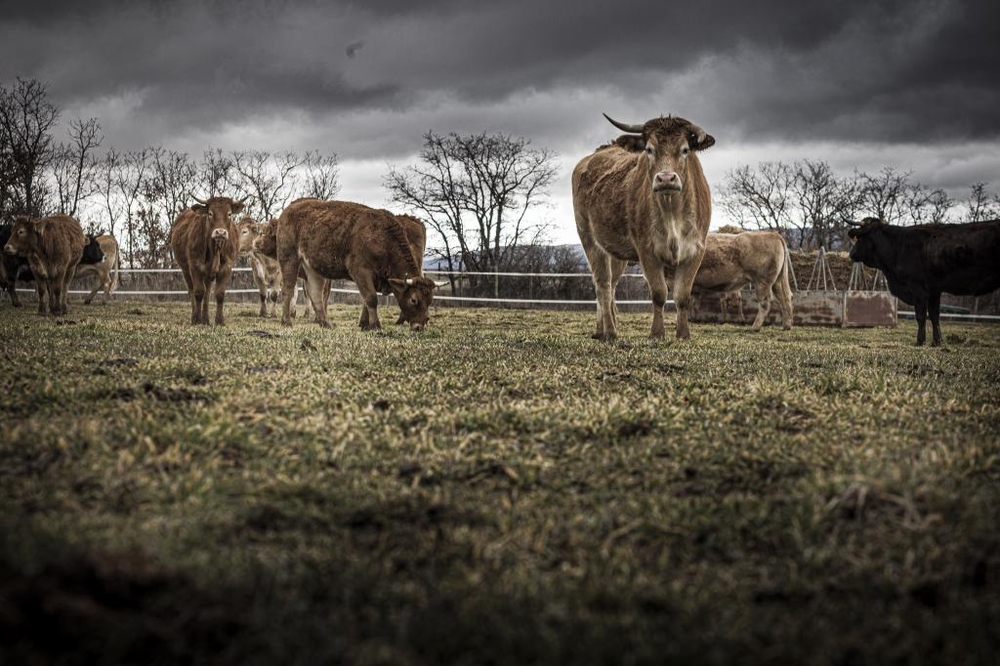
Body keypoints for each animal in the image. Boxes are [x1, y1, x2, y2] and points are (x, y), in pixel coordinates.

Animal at [170, 195, 244, 324]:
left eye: (229, 214)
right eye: (210, 213)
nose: (220, 232)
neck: (215, 249)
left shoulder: (227, 267)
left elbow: (219, 294)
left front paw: (219, 321)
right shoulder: (195, 266)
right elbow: (198, 292)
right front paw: (197, 320)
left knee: (207, 292)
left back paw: (206, 319)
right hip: (185, 270)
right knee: (192, 291)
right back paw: (195, 316)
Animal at [278, 198, 442, 330]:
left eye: (430, 300)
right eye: (414, 299)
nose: (420, 325)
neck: (383, 239)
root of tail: (291, 207)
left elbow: (365, 299)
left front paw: (365, 324)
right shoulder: (360, 271)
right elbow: (371, 298)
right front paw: (375, 325)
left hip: (313, 268)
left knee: (315, 293)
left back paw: (325, 323)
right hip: (289, 259)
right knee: (288, 289)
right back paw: (286, 321)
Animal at [576, 113, 716, 340]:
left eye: (685, 149)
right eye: (649, 149)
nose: (666, 178)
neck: (671, 212)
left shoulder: (696, 250)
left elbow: (683, 295)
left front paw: (683, 334)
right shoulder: (647, 250)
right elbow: (659, 293)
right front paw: (657, 334)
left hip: (616, 252)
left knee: (611, 286)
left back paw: (602, 329)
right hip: (590, 240)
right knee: (603, 285)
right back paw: (610, 332)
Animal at [848, 215, 1000, 344]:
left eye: (859, 238)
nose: (851, 254)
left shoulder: (917, 289)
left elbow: (921, 316)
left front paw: (920, 341)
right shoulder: (934, 291)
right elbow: (934, 316)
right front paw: (938, 342)